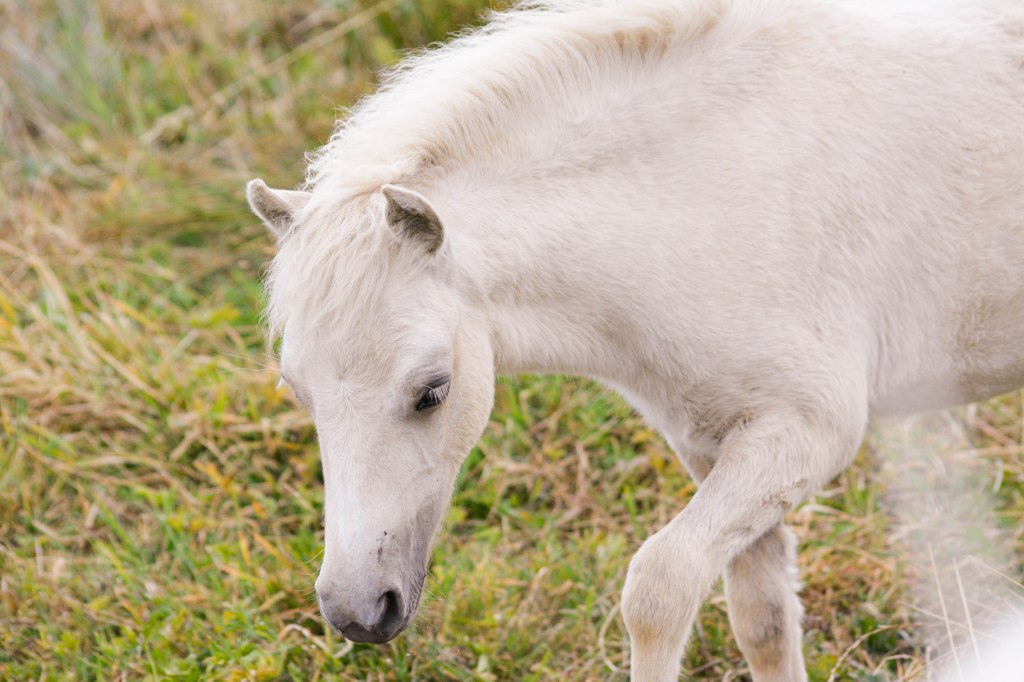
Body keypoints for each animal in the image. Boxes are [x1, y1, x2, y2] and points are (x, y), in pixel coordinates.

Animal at [245, 0, 1024, 679]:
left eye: (432, 392)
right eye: (299, 392)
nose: (355, 611)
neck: (703, 199)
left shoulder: (810, 432)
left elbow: (659, 586)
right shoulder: (717, 444)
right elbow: (763, 618)